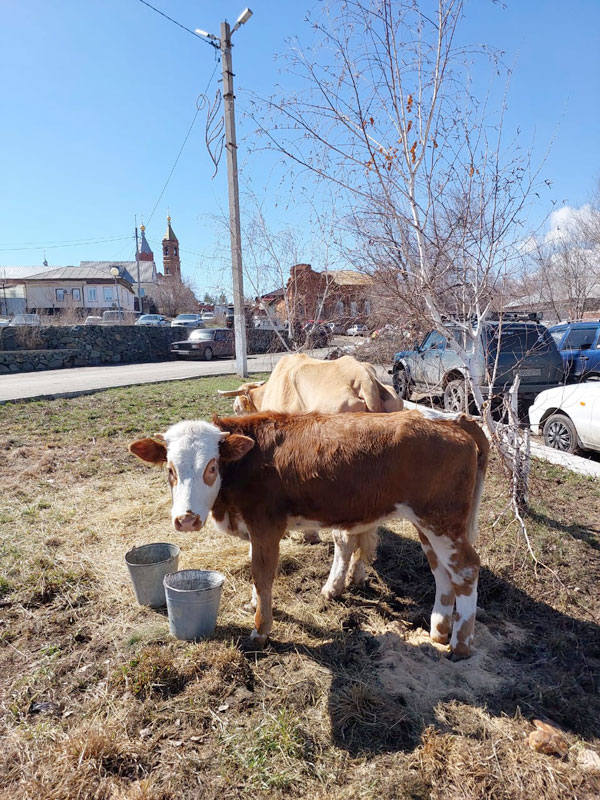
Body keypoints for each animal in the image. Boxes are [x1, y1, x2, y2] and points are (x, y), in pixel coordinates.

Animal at [130, 410, 488, 660]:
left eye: (212, 467)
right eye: (170, 470)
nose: (187, 519)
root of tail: (453, 421)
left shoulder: (266, 527)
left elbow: (262, 574)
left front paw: (260, 631)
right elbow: (254, 573)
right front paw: (252, 604)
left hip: (442, 520)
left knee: (466, 568)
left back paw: (460, 645)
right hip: (428, 524)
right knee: (441, 570)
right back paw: (438, 630)